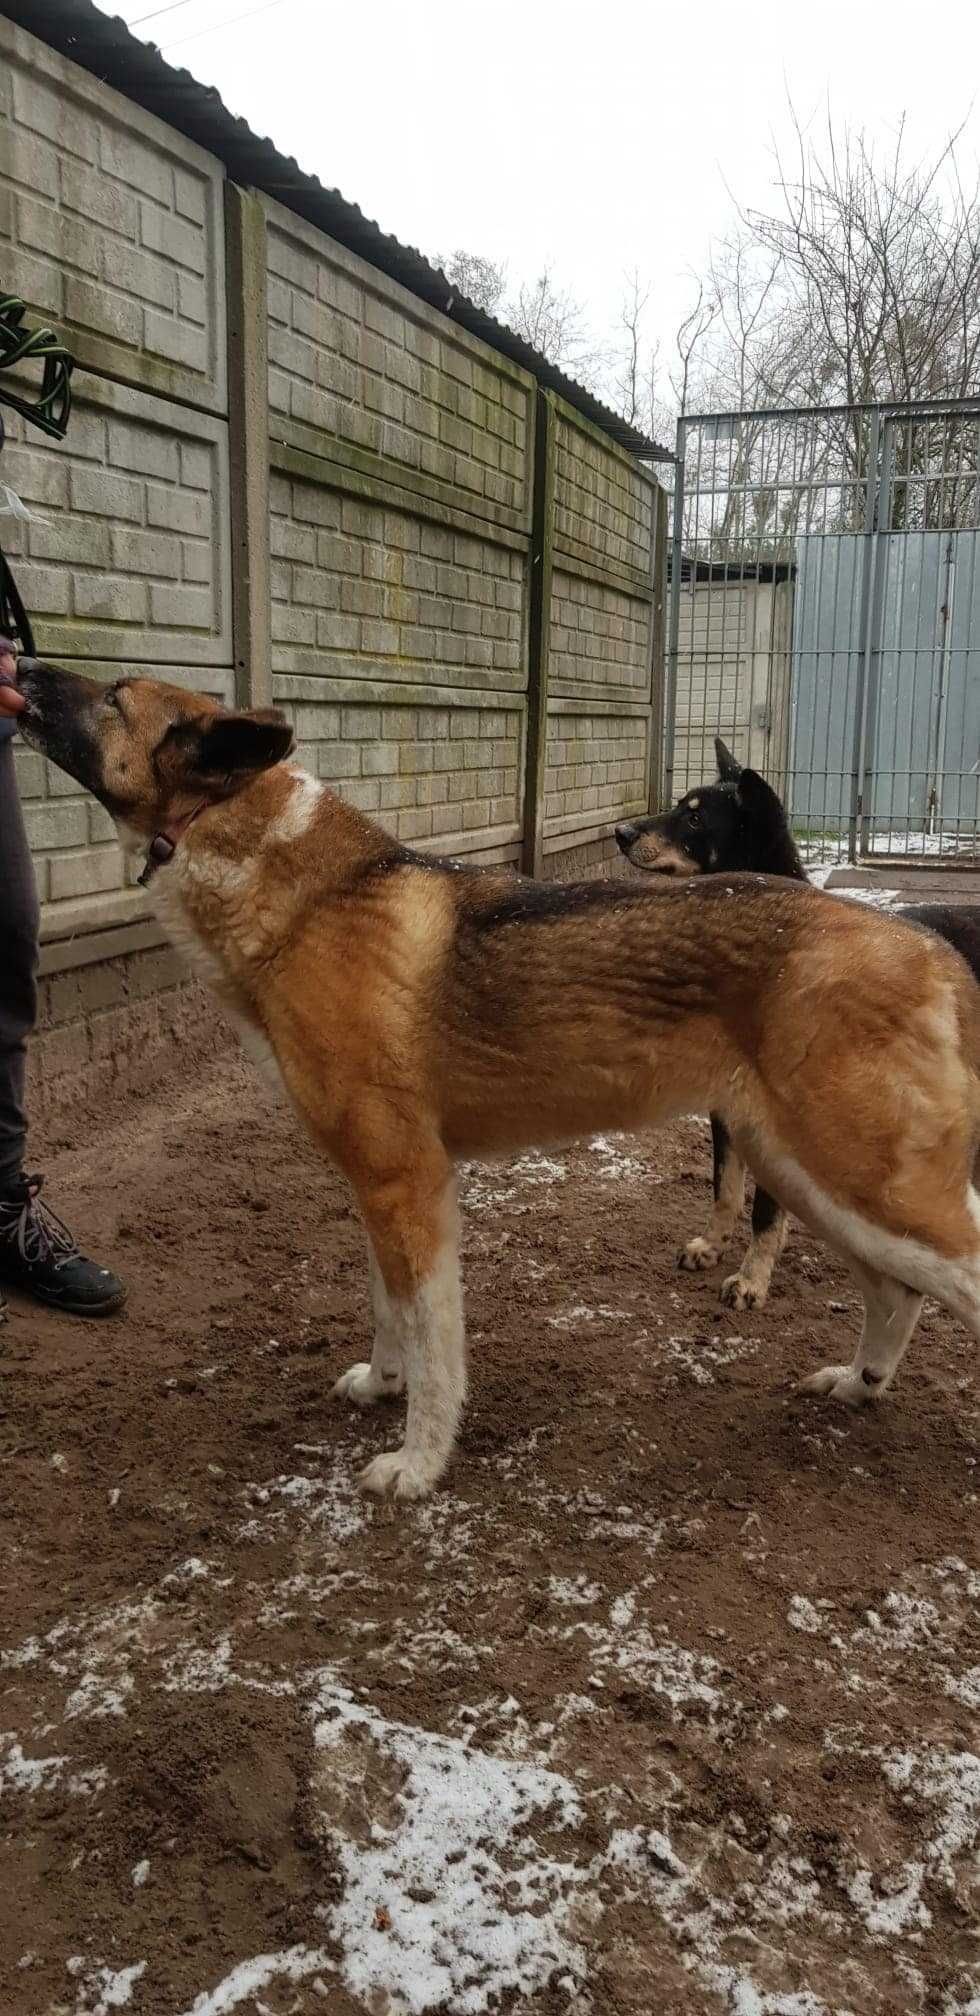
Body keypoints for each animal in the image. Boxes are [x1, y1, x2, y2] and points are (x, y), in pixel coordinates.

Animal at [621, 749, 980, 1314]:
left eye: (696, 819)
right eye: (680, 805)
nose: (620, 832)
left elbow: (764, 1212)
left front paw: (752, 1277)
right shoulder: (725, 1110)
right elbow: (724, 1189)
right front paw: (712, 1245)